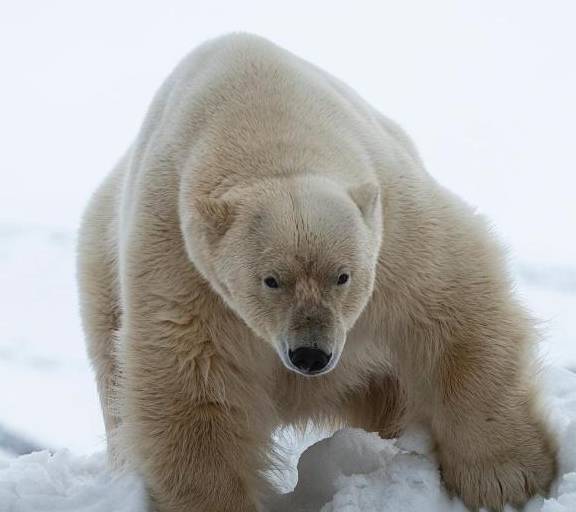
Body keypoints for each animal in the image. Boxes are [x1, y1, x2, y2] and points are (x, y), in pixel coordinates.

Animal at [77, 34, 560, 510]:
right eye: (271, 280)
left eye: (342, 276)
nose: (310, 355)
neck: (264, 123)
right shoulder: (182, 262)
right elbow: (190, 381)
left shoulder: (395, 229)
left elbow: (455, 306)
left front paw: (506, 480)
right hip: (101, 285)